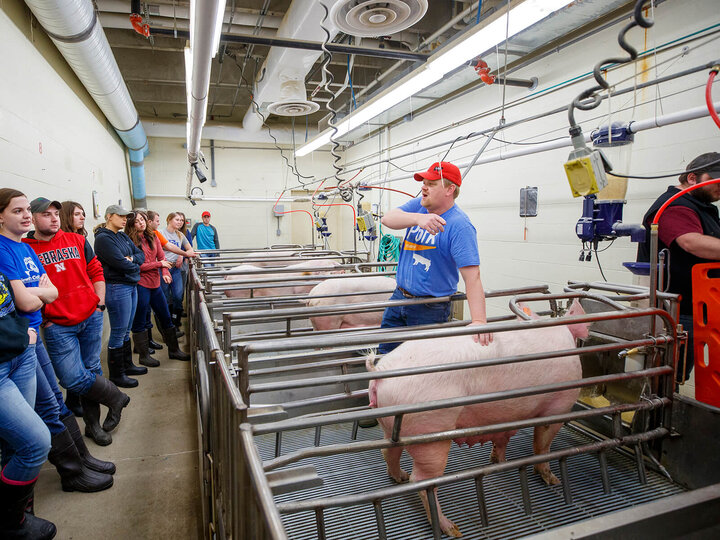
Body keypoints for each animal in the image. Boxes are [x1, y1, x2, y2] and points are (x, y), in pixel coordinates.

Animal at [368, 302, 588, 536]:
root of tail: (380, 373)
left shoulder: (505, 416)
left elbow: (502, 439)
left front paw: (500, 461)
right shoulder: (558, 406)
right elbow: (542, 446)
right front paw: (553, 480)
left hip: (393, 426)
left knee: (389, 452)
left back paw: (399, 477)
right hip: (430, 432)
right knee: (421, 480)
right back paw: (452, 528)